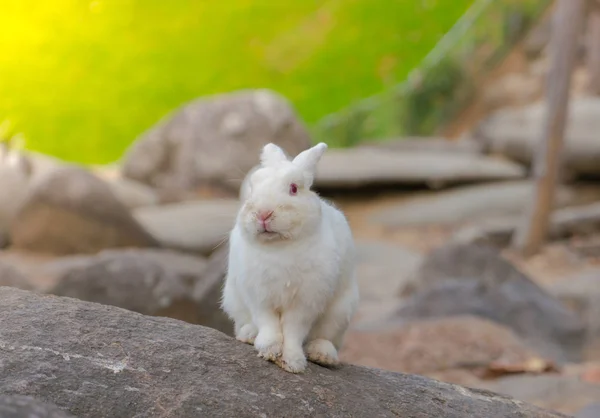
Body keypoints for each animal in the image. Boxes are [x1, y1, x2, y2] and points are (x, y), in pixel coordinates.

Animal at [221, 141, 358, 372]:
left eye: (293, 188)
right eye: (253, 187)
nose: (263, 213)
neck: (278, 246)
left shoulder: (306, 301)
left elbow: (293, 330)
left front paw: (293, 363)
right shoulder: (258, 296)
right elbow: (268, 324)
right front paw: (268, 350)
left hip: (340, 313)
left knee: (327, 338)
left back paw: (322, 355)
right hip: (234, 300)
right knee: (246, 323)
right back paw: (249, 334)